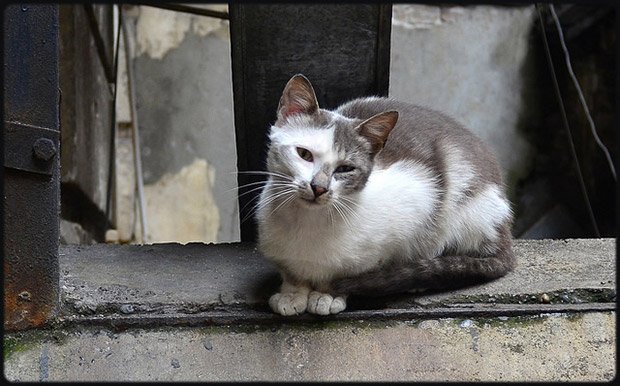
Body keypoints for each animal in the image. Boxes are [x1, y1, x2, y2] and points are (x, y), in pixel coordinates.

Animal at [254, 74, 516, 316]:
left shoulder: (418, 199)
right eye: (304, 154)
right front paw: (292, 294)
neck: (307, 223)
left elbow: (349, 272)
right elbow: (292, 273)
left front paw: (328, 294)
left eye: (345, 169)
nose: (319, 187)